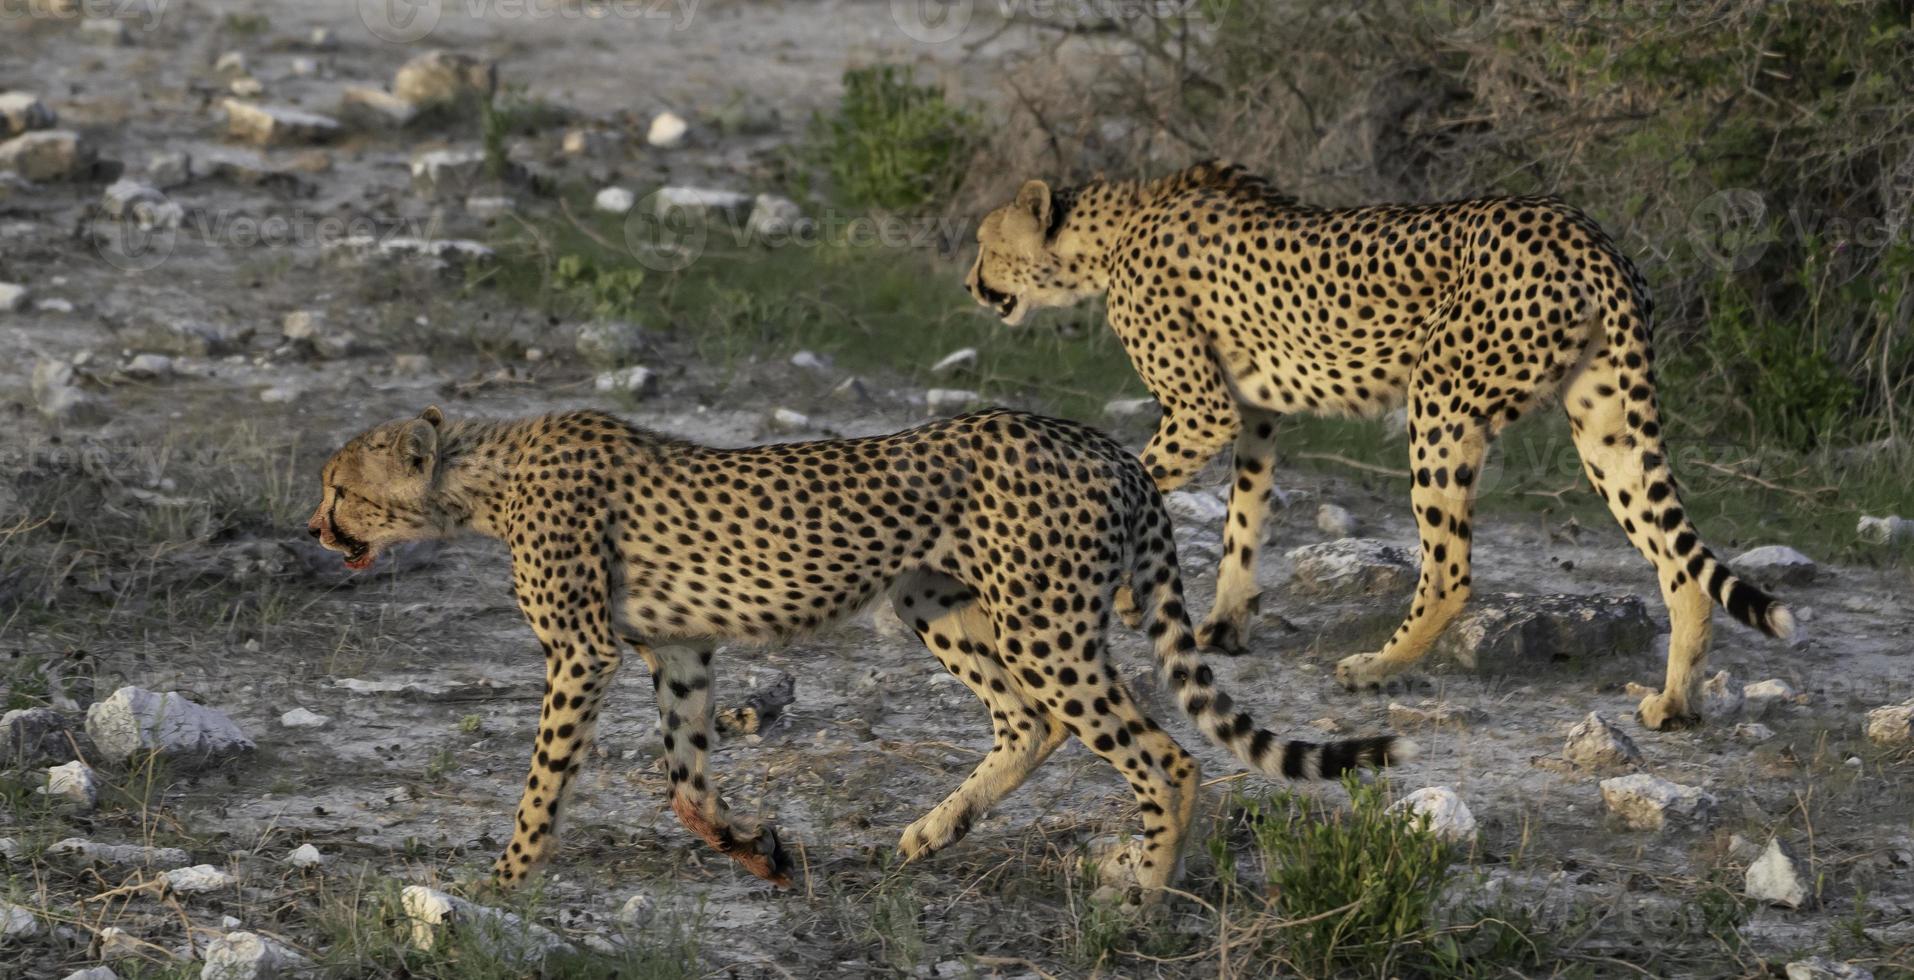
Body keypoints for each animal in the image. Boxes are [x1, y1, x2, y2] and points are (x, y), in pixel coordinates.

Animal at [964, 160, 1799, 727]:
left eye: (984, 244)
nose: (971, 285)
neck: (1112, 227)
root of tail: (1583, 231)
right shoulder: (1254, 412)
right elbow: (1244, 517)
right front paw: (1226, 624)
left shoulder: (1205, 409)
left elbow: (1143, 475)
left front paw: (1122, 590)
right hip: (1605, 423)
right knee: (1678, 564)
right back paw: (1675, 702)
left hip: (1442, 401)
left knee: (1452, 570)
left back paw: (1377, 666)